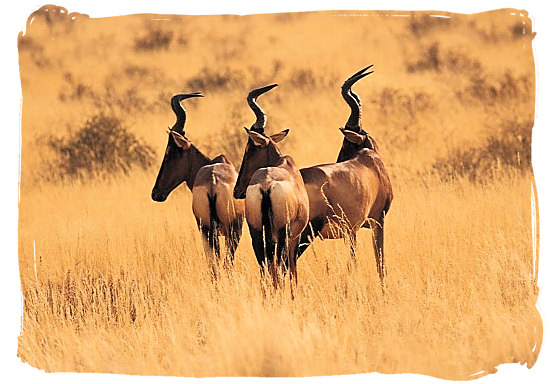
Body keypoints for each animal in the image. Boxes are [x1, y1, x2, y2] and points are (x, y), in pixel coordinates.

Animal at [152, 92, 245, 276]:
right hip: (228, 230)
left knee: (215, 264)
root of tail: (213, 181)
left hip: (208, 229)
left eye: (170, 153)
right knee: (224, 263)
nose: (156, 193)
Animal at [233, 85, 310, 288]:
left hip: (256, 230)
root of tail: (266, 185)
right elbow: (292, 268)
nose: (237, 190)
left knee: (264, 264)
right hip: (282, 232)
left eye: (250, 149)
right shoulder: (295, 235)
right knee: (280, 264)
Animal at [300, 66, 394, 286]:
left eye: (345, 143)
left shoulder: (352, 231)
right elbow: (379, 262)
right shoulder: (377, 221)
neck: (371, 161)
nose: (337, 159)